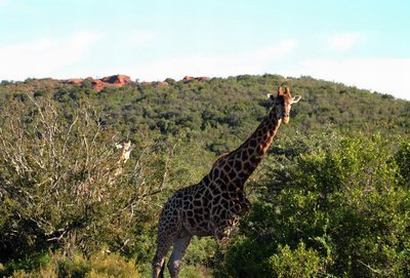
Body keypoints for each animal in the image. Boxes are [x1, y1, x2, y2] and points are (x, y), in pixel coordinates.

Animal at [151, 84, 302, 278]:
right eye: (276, 102)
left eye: (291, 103)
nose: (286, 116)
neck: (238, 178)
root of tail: (164, 206)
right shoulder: (222, 230)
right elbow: (223, 265)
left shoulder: (236, 227)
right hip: (167, 229)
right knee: (157, 261)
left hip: (184, 233)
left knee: (174, 263)